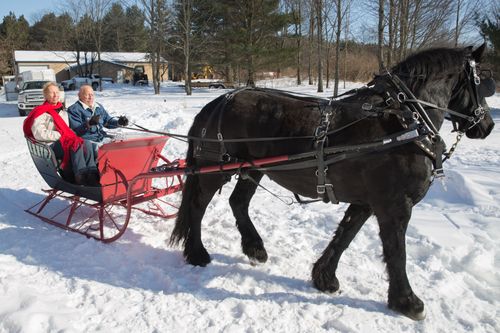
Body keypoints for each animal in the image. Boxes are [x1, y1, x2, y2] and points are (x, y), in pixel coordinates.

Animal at [170, 44, 494, 320]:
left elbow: (344, 236)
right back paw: (197, 252)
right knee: (198, 206)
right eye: (483, 82)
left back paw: (255, 248)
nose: (488, 126)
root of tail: (215, 103)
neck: (404, 121)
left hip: (253, 169)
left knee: (237, 202)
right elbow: (396, 252)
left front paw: (324, 277)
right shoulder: (394, 205)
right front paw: (407, 301)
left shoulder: (366, 202)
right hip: (214, 169)